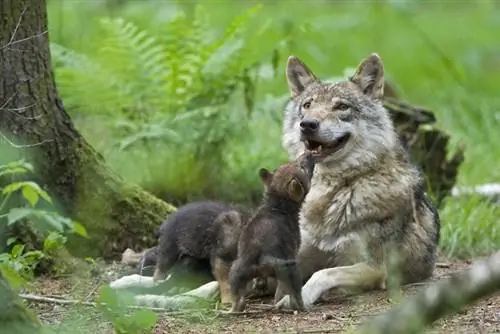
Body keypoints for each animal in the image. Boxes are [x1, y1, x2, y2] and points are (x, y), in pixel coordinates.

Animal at [229, 153, 314, 312]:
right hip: (292, 269)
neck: (277, 206)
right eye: (301, 167)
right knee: (295, 295)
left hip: (235, 272)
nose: (309, 153)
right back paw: (302, 307)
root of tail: (259, 259)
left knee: (238, 299)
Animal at [278, 51, 442, 308]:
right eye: (308, 105)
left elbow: (323, 273)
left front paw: (301, 296)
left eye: (341, 106)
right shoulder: (304, 250)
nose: (308, 124)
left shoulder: (376, 268)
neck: (335, 190)